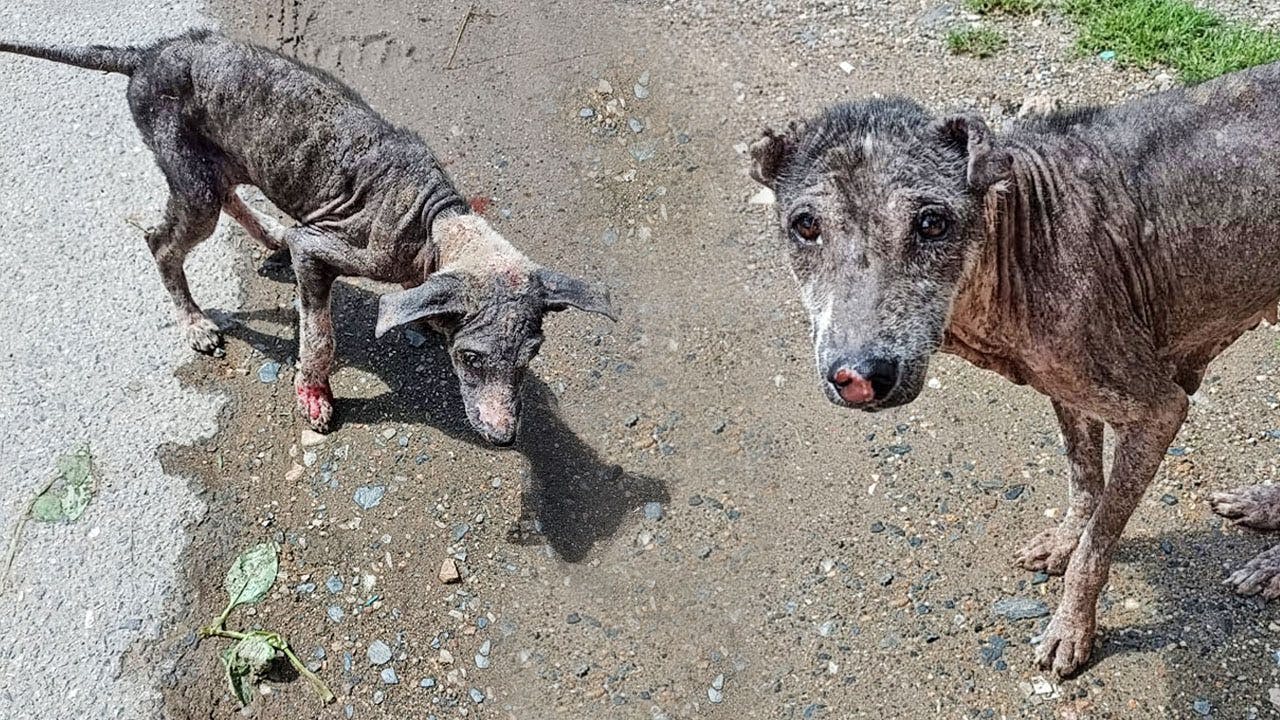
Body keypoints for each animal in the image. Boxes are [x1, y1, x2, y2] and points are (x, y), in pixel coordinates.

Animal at [0, 30, 611, 443]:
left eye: (531, 356)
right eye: (472, 360)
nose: (503, 437)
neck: (435, 220)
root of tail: (145, 54)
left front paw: (427, 315)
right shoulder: (318, 252)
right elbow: (320, 337)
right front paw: (314, 394)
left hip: (222, 160)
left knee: (228, 196)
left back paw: (269, 236)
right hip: (189, 176)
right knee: (161, 241)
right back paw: (195, 322)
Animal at [752, 61, 1280, 671]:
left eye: (932, 223)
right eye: (805, 225)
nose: (858, 376)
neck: (1022, 241)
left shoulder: (1158, 411)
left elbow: (1097, 547)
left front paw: (1072, 628)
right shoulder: (1068, 392)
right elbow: (1084, 482)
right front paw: (1064, 541)